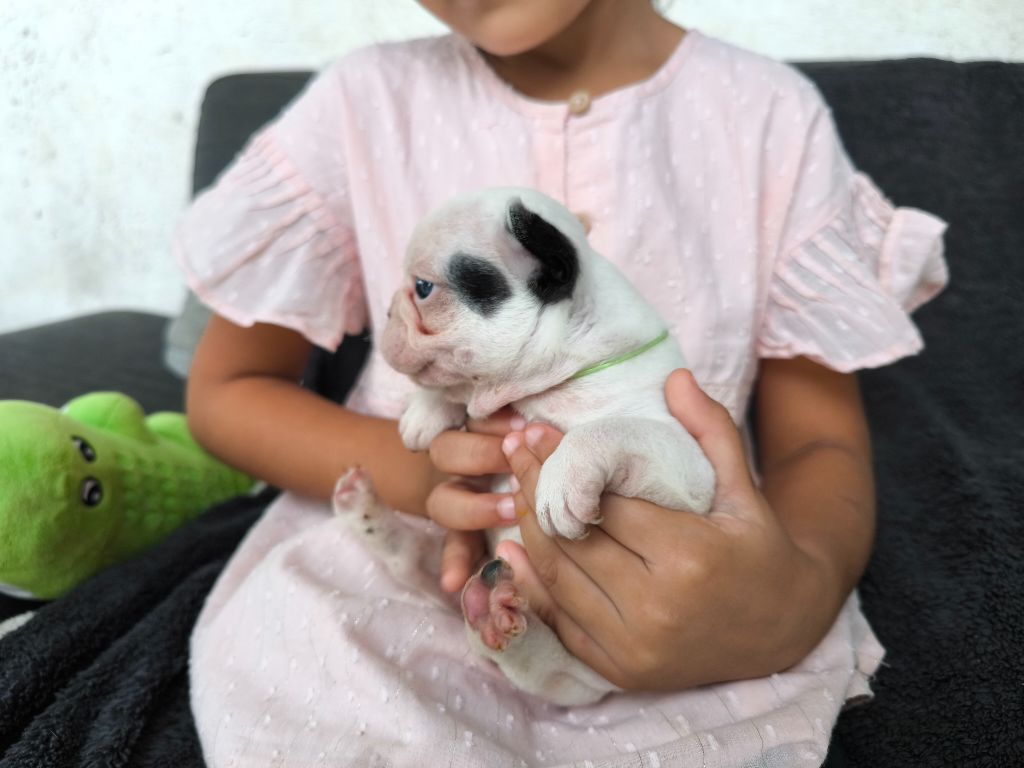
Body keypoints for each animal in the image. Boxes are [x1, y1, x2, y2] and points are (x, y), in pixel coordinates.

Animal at [334, 187, 715, 706]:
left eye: (423, 288)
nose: (390, 310)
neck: (546, 379)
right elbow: (450, 388)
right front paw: (426, 411)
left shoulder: (687, 463)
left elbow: (609, 429)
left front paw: (563, 476)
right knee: (411, 563)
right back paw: (364, 509)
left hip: (582, 671)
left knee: (541, 668)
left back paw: (498, 621)